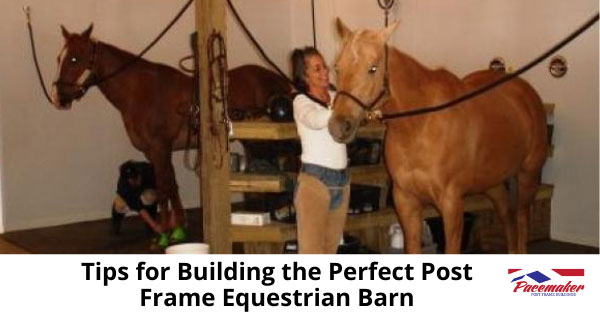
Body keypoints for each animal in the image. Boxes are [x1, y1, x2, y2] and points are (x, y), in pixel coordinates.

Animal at [52, 24, 292, 232]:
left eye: (74, 58)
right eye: (59, 58)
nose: (59, 97)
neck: (138, 92)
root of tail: (281, 80)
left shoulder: (159, 148)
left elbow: (163, 188)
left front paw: (165, 233)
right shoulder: (154, 152)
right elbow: (171, 185)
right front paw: (177, 225)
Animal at [328, 18, 548, 254]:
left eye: (373, 68)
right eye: (337, 68)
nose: (338, 126)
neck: (420, 126)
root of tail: (525, 92)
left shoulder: (451, 203)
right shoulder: (405, 200)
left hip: (528, 176)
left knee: (521, 220)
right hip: (493, 183)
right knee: (507, 217)